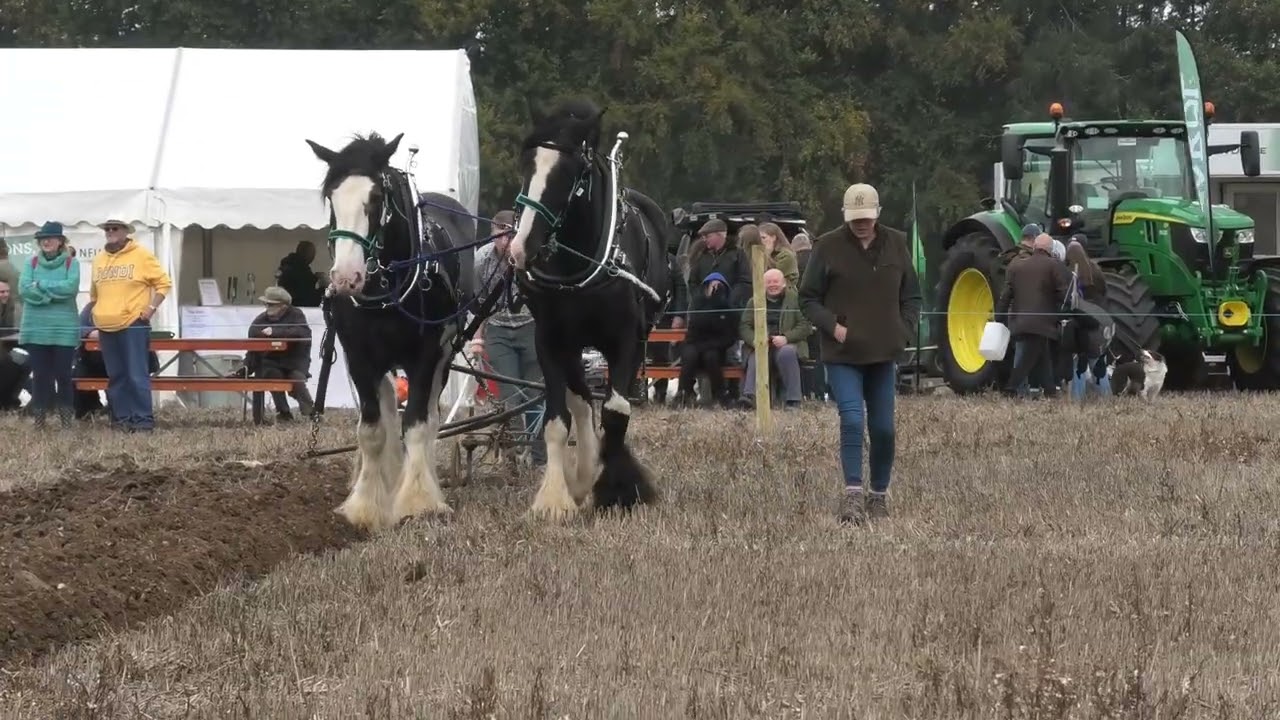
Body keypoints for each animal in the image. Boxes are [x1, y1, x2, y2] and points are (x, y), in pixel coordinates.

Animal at [305, 132, 476, 532]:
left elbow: (416, 424)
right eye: (331, 196)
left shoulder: (426, 355)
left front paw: (418, 502)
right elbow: (372, 430)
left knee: (429, 418)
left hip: (444, 359)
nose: (346, 278)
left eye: (376, 198)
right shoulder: (357, 356)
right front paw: (365, 506)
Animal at [508, 97, 673, 520]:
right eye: (526, 163)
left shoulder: (625, 340)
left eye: (569, 173)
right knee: (581, 402)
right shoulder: (550, 340)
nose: (520, 247)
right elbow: (556, 419)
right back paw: (581, 477)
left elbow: (615, 412)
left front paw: (619, 489)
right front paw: (554, 499)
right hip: (573, 345)